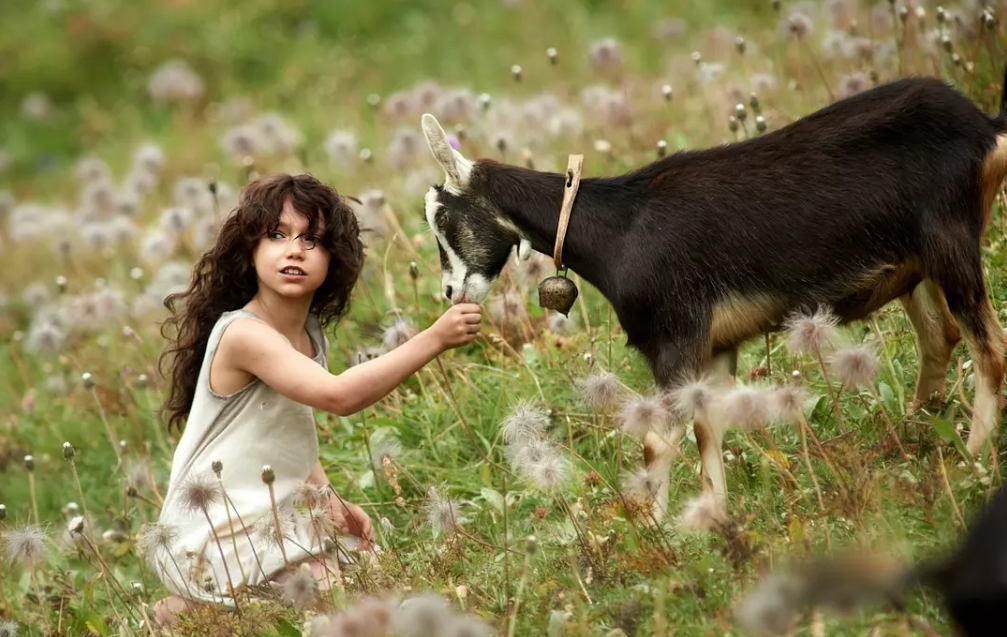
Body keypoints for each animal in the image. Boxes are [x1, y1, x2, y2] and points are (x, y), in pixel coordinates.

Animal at [420, 70, 1007, 515]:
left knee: (990, 350)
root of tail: (984, 127)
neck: (619, 229)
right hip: (919, 266)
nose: (450, 292)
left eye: (443, 216)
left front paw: (657, 538)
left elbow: (657, 441)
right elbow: (708, 433)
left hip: (951, 244)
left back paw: (971, 464)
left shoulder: (675, 339)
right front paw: (713, 523)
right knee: (941, 337)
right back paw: (915, 444)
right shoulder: (715, 347)